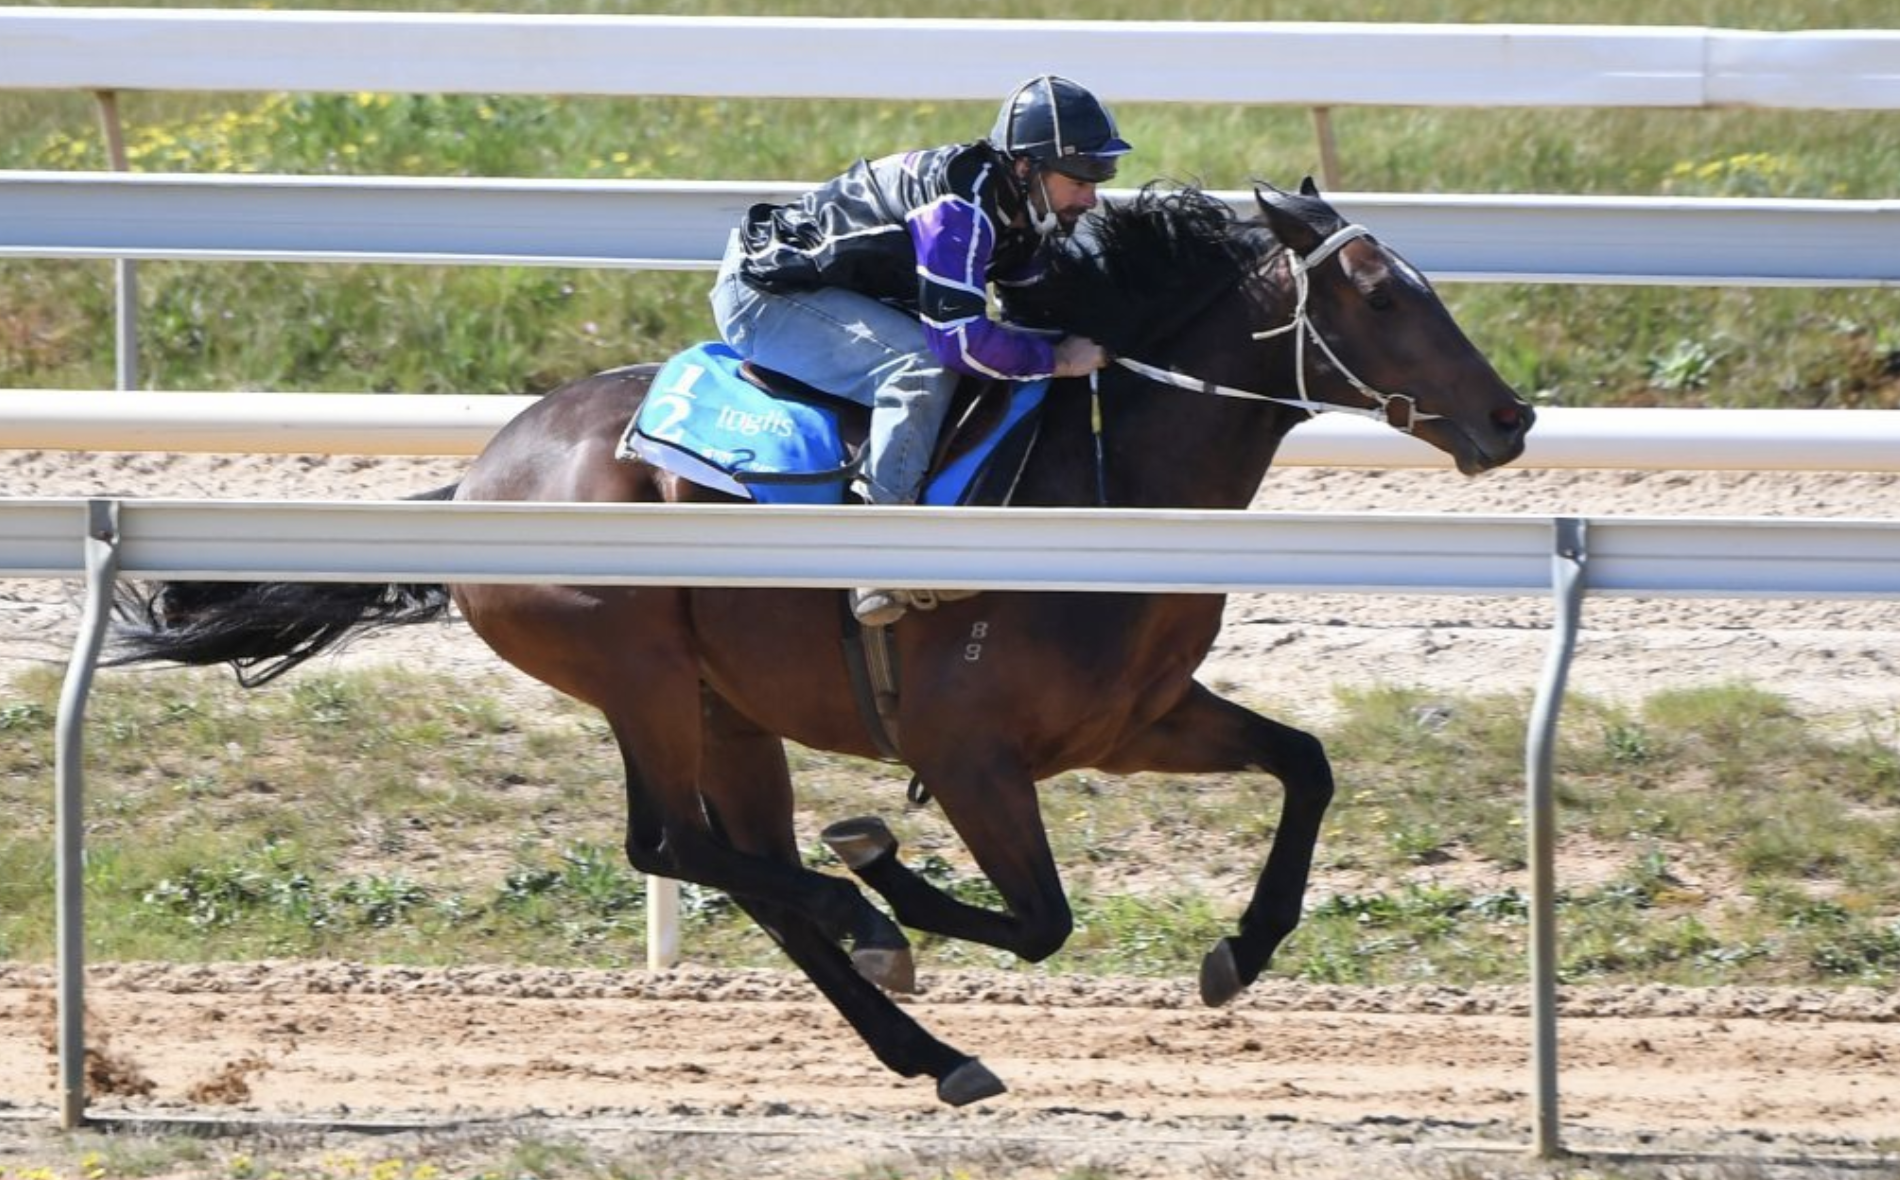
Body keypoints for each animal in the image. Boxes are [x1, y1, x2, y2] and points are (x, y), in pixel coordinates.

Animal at [107, 179, 1527, 1102]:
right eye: (1381, 295)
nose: (1511, 416)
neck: (1100, 483)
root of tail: (481, 477)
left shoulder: (1135, 722)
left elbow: (1306, 767)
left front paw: (1240, 948)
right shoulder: (967, 753)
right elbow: (1040, 920)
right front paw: (888, 873)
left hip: (728, 710)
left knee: (738, 865)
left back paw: (927, 1048)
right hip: (637, 673)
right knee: (675, 845)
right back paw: (866, 918)